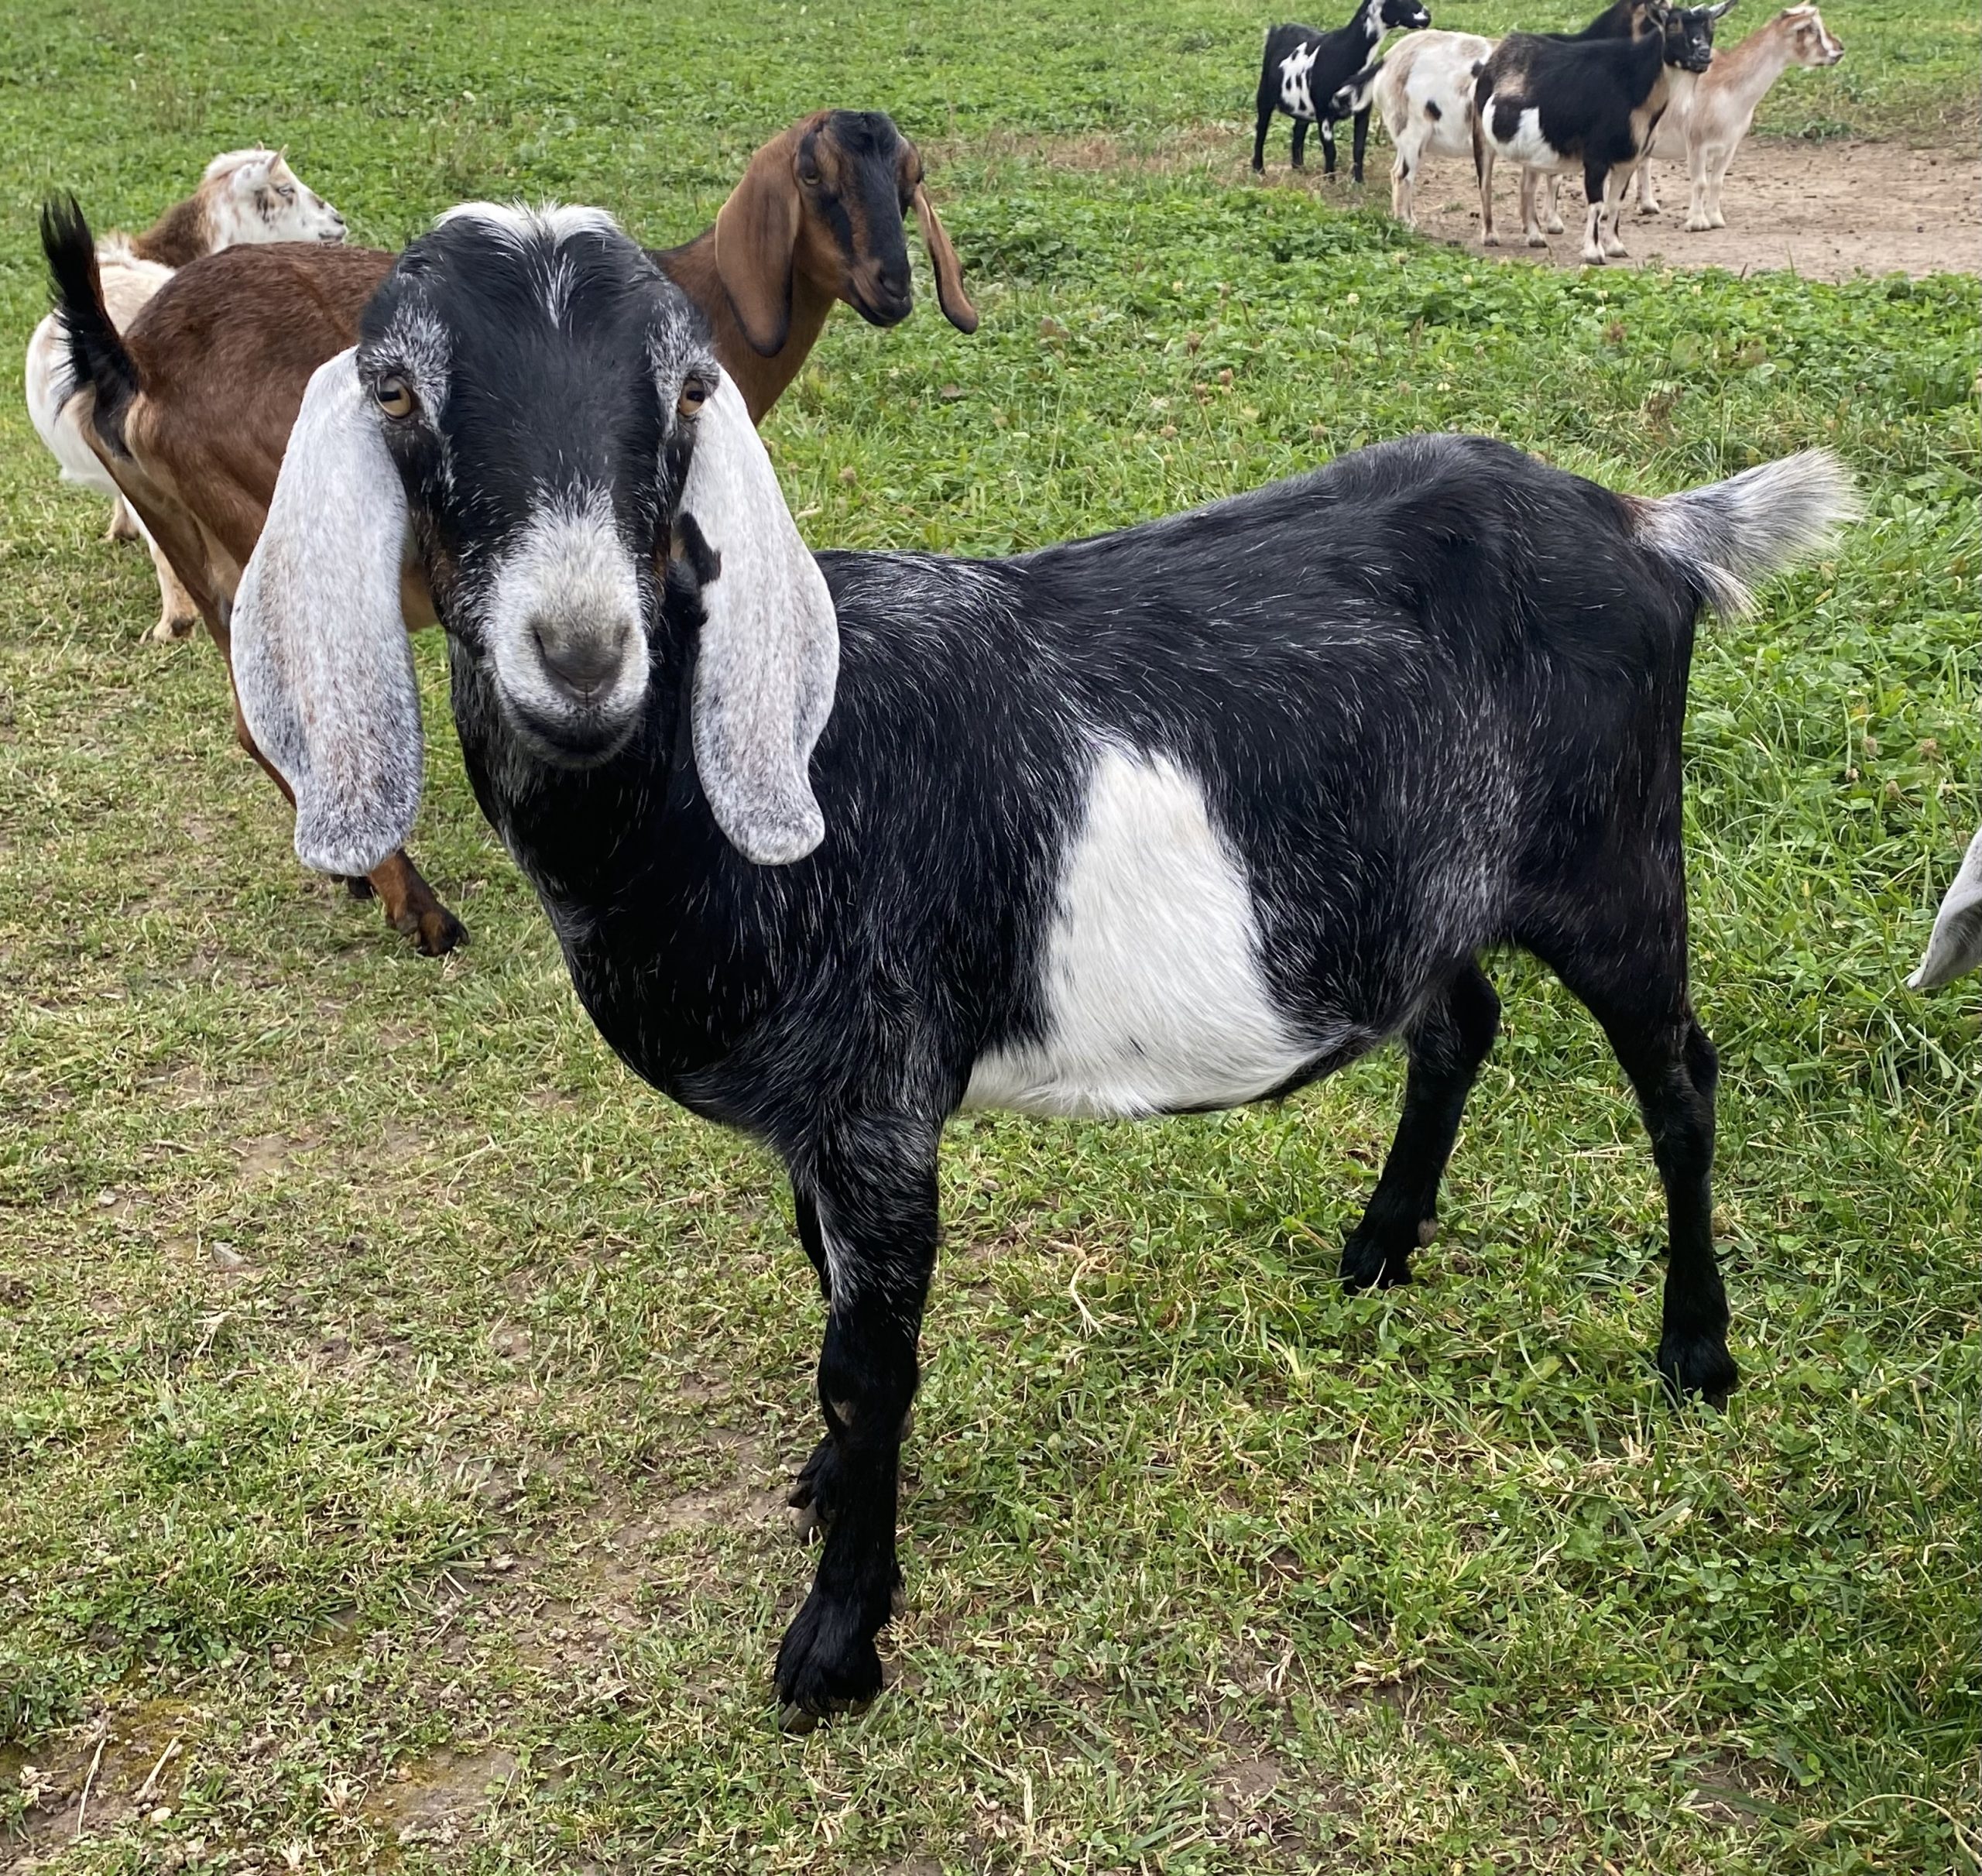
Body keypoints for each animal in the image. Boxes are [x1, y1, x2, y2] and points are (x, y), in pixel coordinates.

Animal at [222, 206, 1852, 1723]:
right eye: (397, 391)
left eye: (686, 392)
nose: (578, 649)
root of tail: (1648, 531)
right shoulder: (820, 1121)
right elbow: (820, 1291)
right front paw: (830, 1489)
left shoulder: (879, 1104)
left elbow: (866, 1359)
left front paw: (838, 1640)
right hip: (1413, 884)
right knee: (1459, 1016)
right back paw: (1382, 1246)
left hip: (1615, 860)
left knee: (1679, 1076)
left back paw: (1696, 1350)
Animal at [1253, 0, 1432, 183]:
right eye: (1400, 1)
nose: (1427, 16)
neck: (1345, 53)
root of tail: (1278, 29)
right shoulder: (1324, 113)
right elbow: (1331, 150)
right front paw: (1330, 180)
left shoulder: (1363, 110)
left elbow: (1358, 148)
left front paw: (1358, 181)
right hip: (1265, 93)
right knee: (1261, 129)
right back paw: (1259, 170)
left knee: (1299, 128)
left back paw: (1299, 168)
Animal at [1473, 3, 1726, 264]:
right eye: (1673, 25)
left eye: (1711, 26)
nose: (1703, 55)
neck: (1632, 86)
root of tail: (1501, 50)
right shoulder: (1596, 158)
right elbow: (1597, 204)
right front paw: (1594, 252)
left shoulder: (1627, 161)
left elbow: (1615, 203)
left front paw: (1615, 246)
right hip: (1480, 131)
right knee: (1485, 183)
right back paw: (1490, 235)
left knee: (1527, 186)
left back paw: (1535, 236)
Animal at [1632, 4, 1842, 227]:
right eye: (1810, 29)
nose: (1840, 49)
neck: (1727, 87)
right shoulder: (1696, 142)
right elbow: (1699, 183)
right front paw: (1697, 222)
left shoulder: (1729, 144)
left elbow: (1717, 182)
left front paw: (1715, 219)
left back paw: (1647, 206)